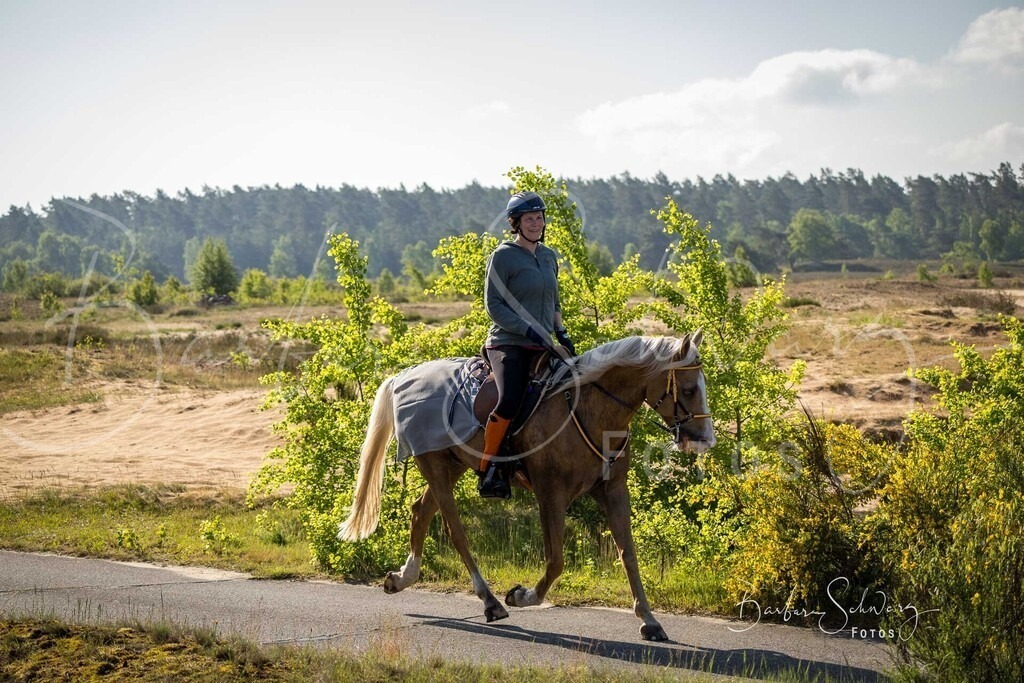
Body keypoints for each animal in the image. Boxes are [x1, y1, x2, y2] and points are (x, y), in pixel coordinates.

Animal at [338, 332, 715, 641]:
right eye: (689, 389)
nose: (704, 440)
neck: (589, 409)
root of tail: (404, 377)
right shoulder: (551, 494)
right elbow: (556, 560)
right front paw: (521, 596)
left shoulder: (613, 490)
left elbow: (628, 555)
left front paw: (650, 621)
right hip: (433, 464)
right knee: (454, 528)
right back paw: (490, 601)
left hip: (451, 463)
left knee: (421, 511)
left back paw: (402, 578)